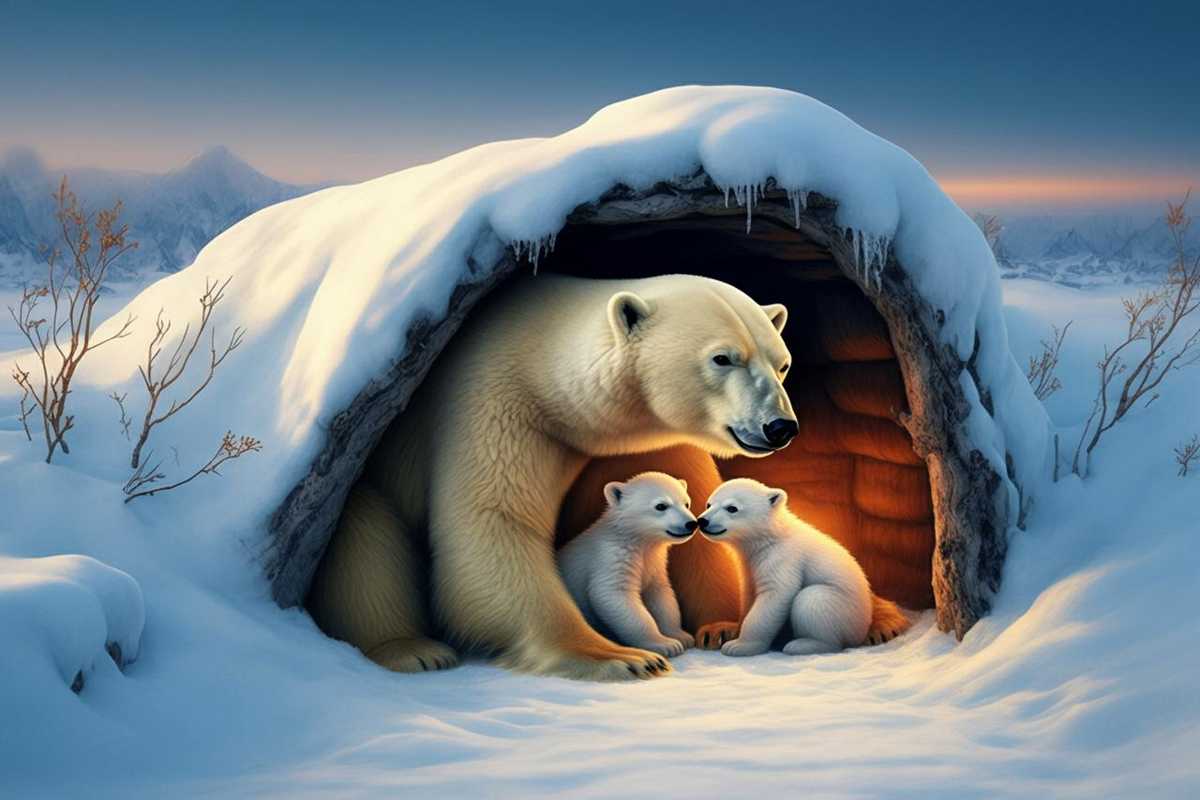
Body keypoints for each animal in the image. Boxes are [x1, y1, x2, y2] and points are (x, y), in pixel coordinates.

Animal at [558, 471, 698, 660]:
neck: (636, 540)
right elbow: (614, 594)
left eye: (686, 503)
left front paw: (680, 636)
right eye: (661, 506)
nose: (691, 523)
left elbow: (661, 596)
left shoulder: (654, 563)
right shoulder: (610, 557)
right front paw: (665, 645)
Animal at [696, 478, 876, 657]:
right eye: (708, 504)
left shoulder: (782, 558)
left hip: (844, 611)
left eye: (732, 508)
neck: (769, 537)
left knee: (813, 599)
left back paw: (801, 645)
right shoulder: (749, 564)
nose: (702, 521)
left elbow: (776, 593)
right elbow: (749, 595)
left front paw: (739, 646)